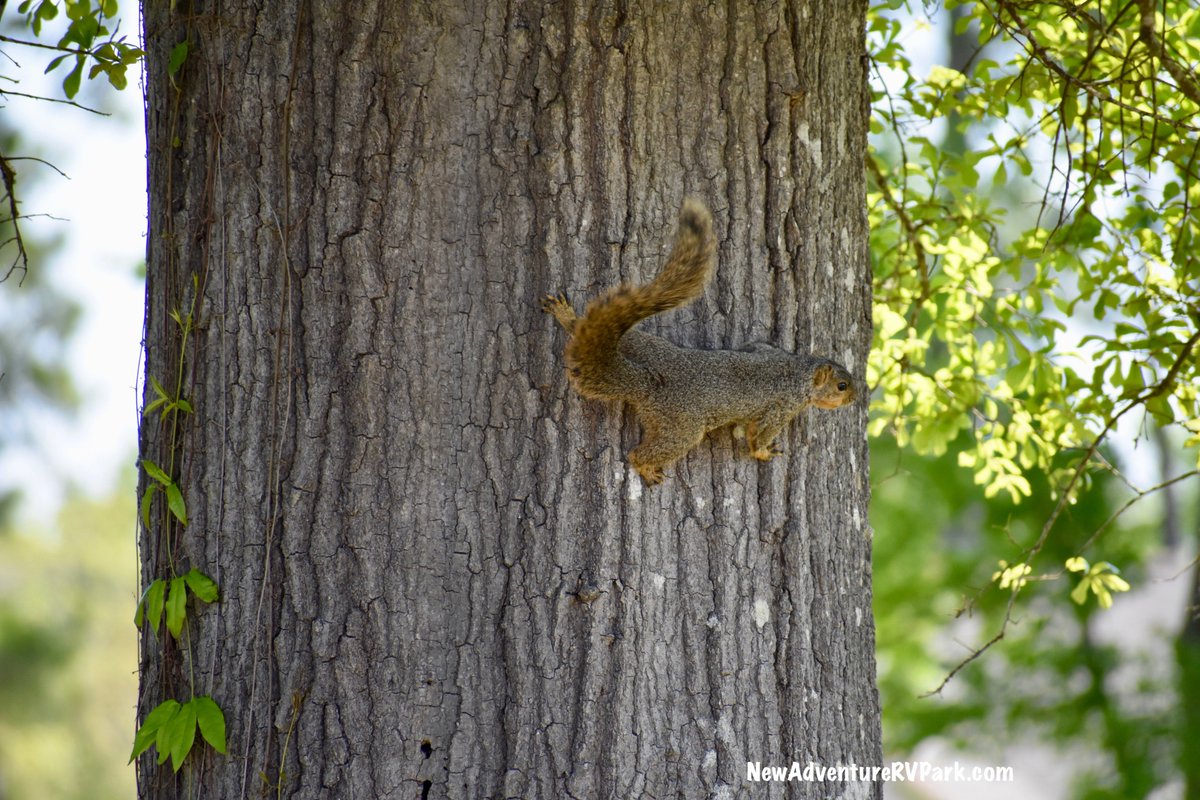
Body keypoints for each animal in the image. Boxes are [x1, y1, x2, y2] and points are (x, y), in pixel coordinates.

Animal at [543, 198, 856, 486]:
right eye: (841, 386)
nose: (854, 399)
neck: (798, 369)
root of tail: (649, 381)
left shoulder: (764, 350)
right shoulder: (782, 407)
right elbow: (759, 437)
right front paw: (765, 453)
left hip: (642, 343)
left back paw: (568, 317)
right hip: (681, 428)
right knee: (643, 453)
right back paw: (646, 467)